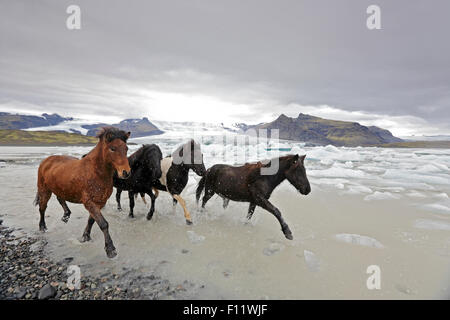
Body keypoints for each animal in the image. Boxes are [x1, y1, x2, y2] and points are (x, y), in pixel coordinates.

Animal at [35, 127, 130, 258]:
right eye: (112, 148)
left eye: (126, 148)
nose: (126, 172)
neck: (96, 172)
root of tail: (45, 161)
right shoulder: (89, 202)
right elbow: (103, 224)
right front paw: (110, 249)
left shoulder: (99, 202)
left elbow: (92, 220)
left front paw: (86, 237)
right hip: (44, 190)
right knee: (42, 208)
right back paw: (43, 227)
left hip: (60, 188)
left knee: (60, 198)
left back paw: (66, 215)